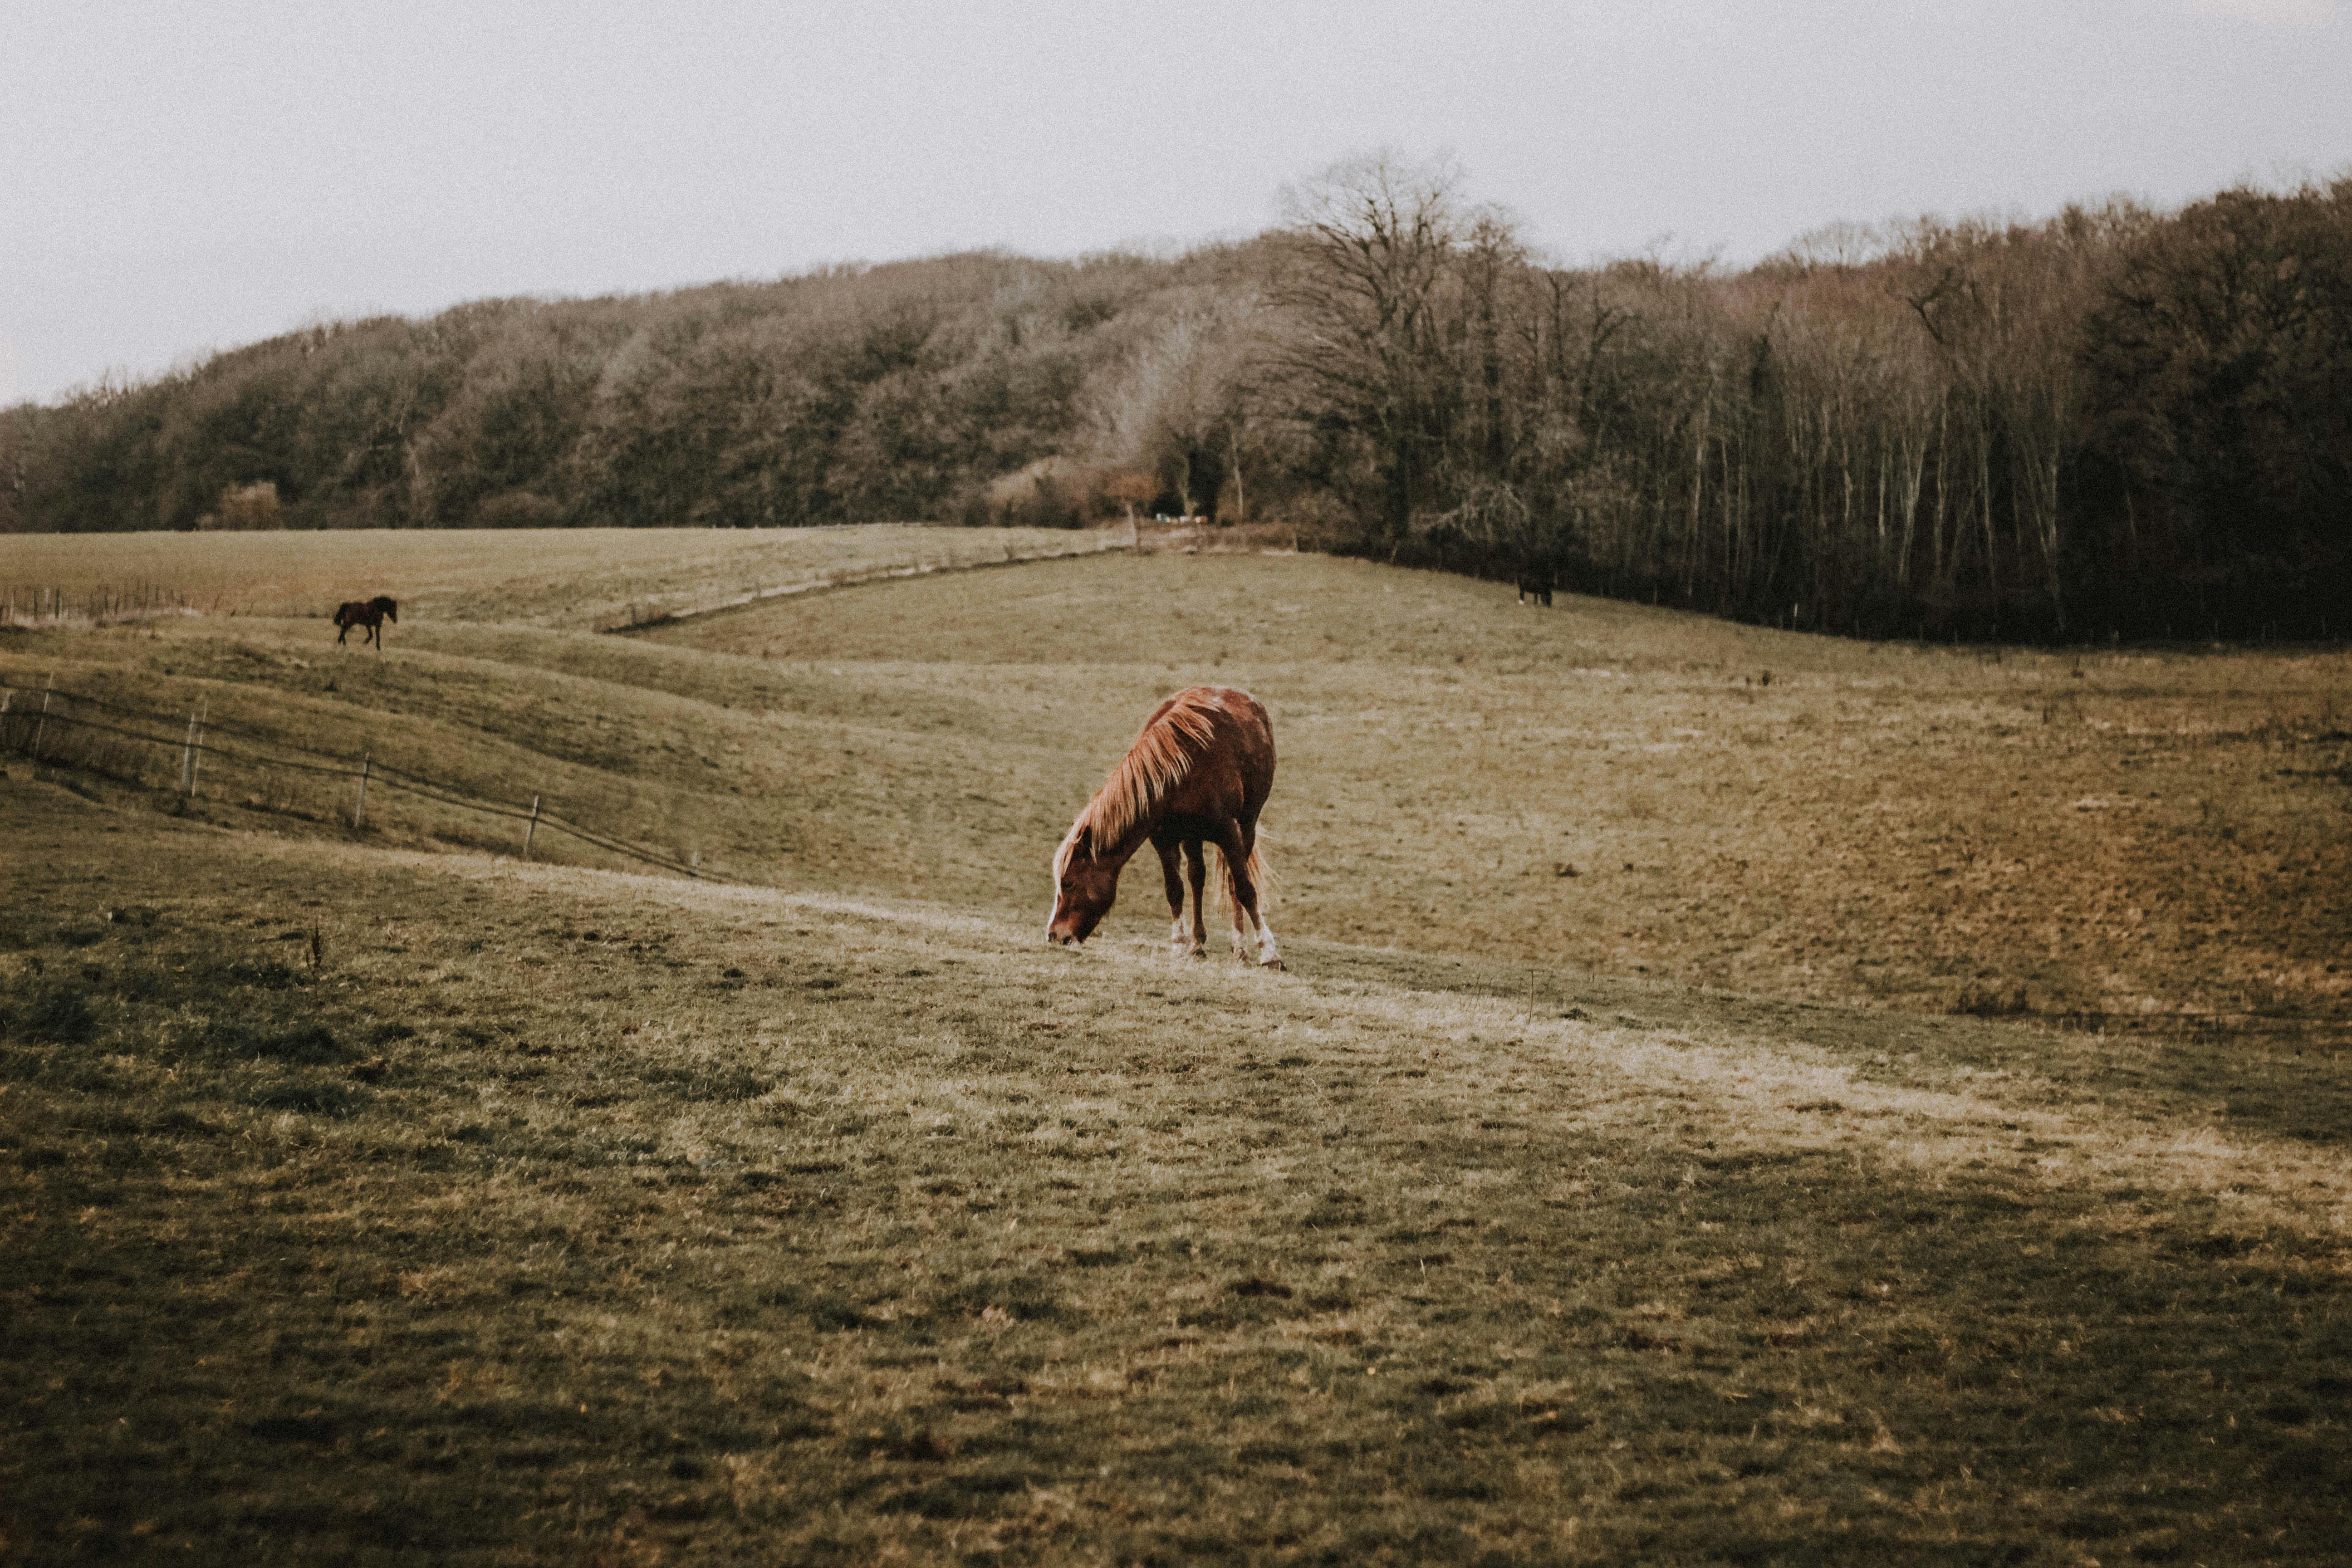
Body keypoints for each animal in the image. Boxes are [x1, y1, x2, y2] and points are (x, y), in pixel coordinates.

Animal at [333, 596, 398, 648]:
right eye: (393, 609)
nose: (395, 621)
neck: (377, 609)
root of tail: (348, 606)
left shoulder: (374, 625)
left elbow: (376, 636)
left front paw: (378, 648)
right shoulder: (371, 625)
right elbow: (372, 635)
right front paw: (366, 643)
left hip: (348, 623)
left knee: (343, 631)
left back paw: (342, 643)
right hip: (349, 623)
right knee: (343, 631)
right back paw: (342, 643)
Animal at [1047, 685, 1282, 968]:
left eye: (1068, 883)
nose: (1054, 935)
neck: (1182, 769)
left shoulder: (1228, 832)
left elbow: (1245, 889)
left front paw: (1269, 953)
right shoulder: (1164, 839)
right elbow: (1175, 890)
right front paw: (1180, 946)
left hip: (1247, 826)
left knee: (1233, 882)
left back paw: (1240, 947)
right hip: (1192, 836)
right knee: (1197, 877)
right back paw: (1197, 943)